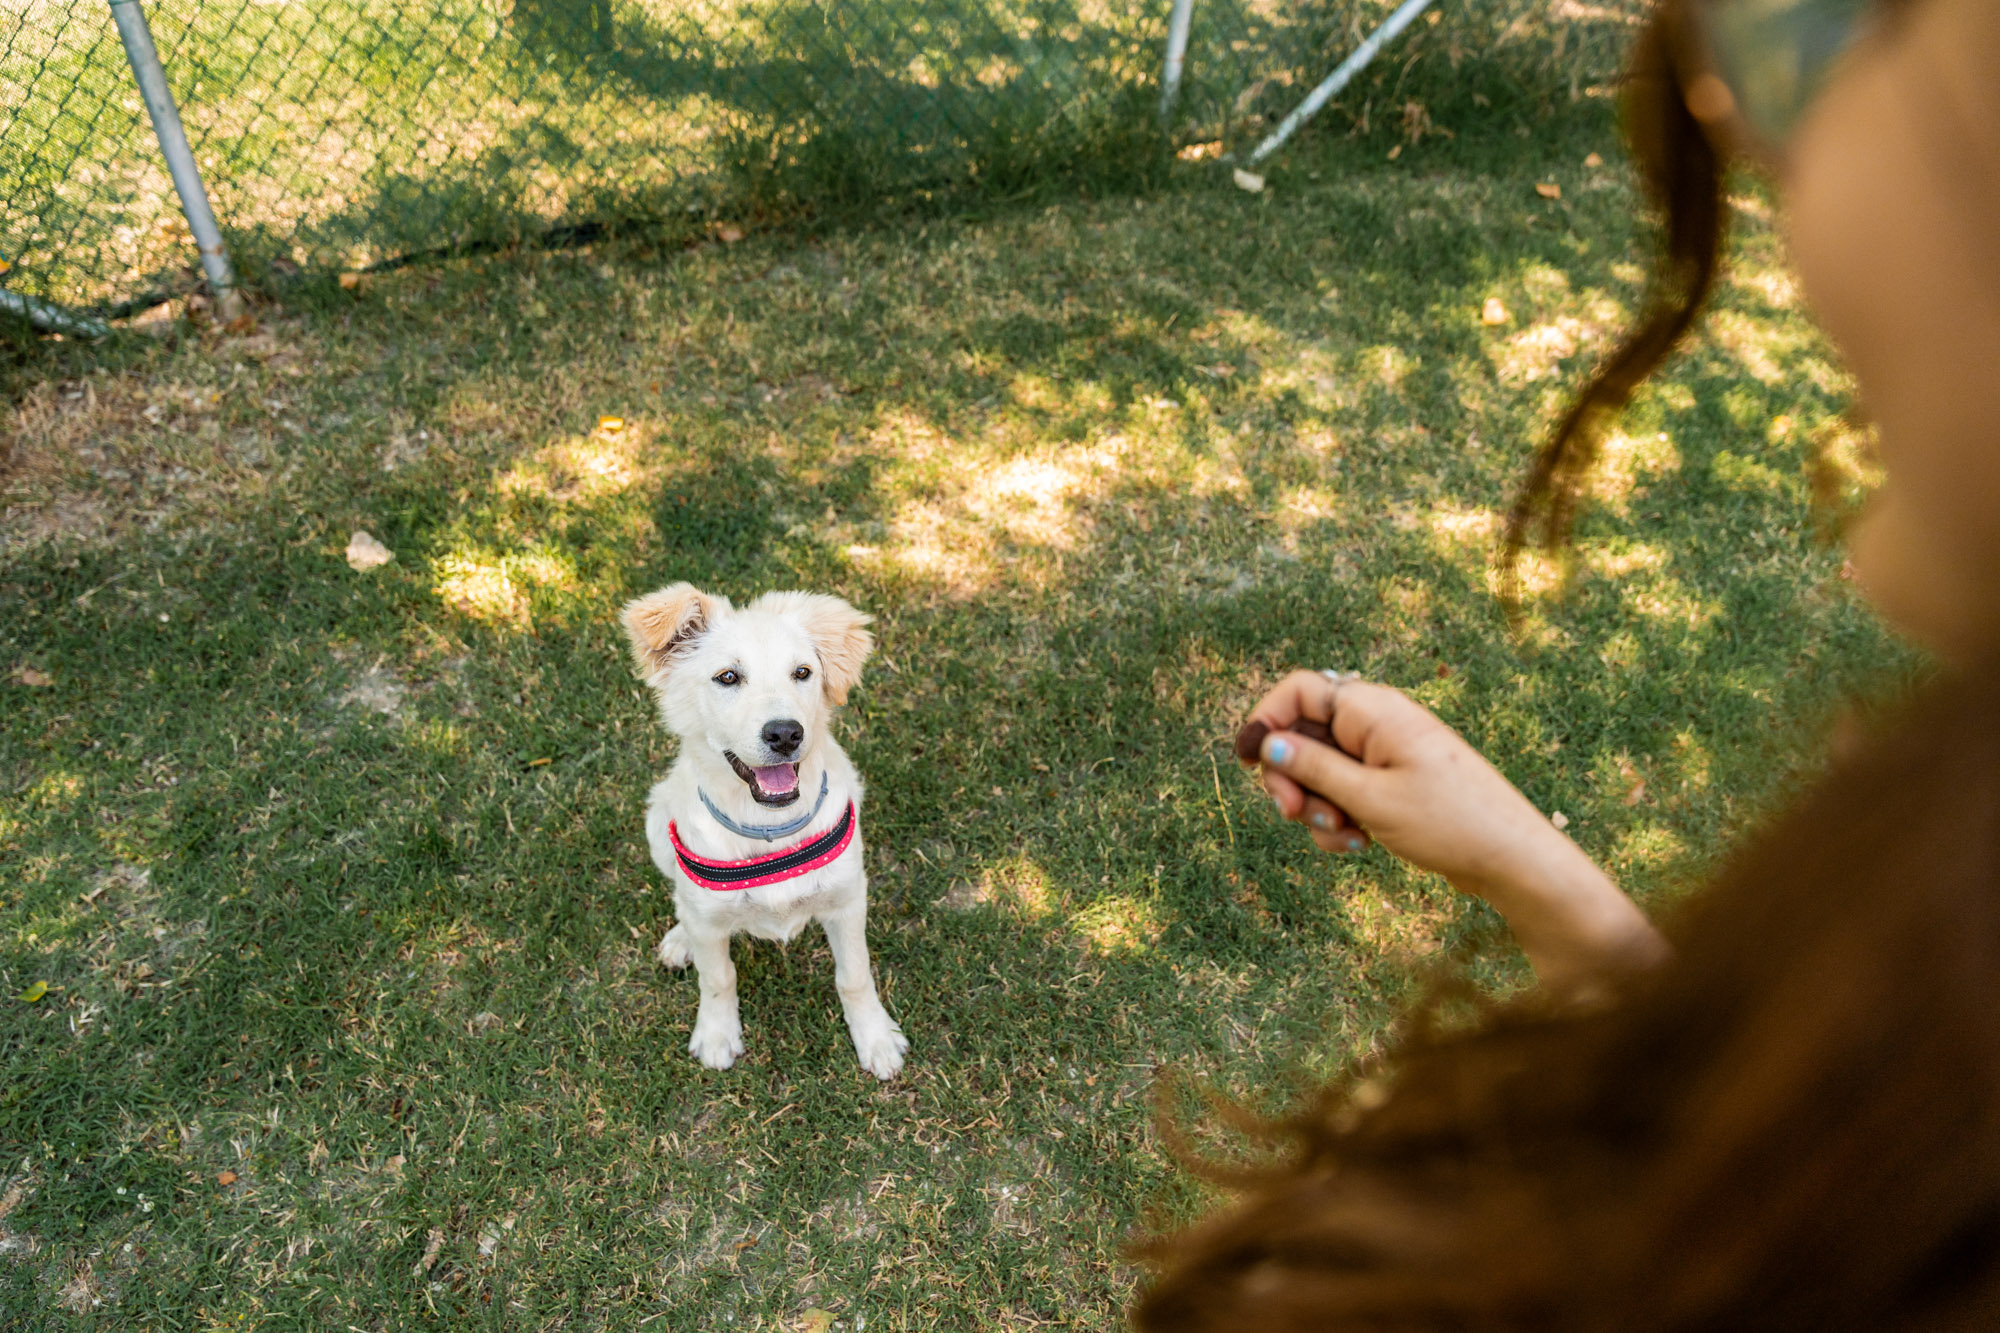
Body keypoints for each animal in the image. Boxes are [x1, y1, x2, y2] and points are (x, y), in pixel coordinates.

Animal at [620, 580, 912, 1080]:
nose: (785, 734)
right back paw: (681, 939)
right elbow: (718, 977)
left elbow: (854, 975)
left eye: (802, 672)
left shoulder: (848, 899)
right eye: (727, 677)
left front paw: (875, 1037)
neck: (769, 827)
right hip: (657, 825)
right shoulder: (709, 919)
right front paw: (717, 1034)